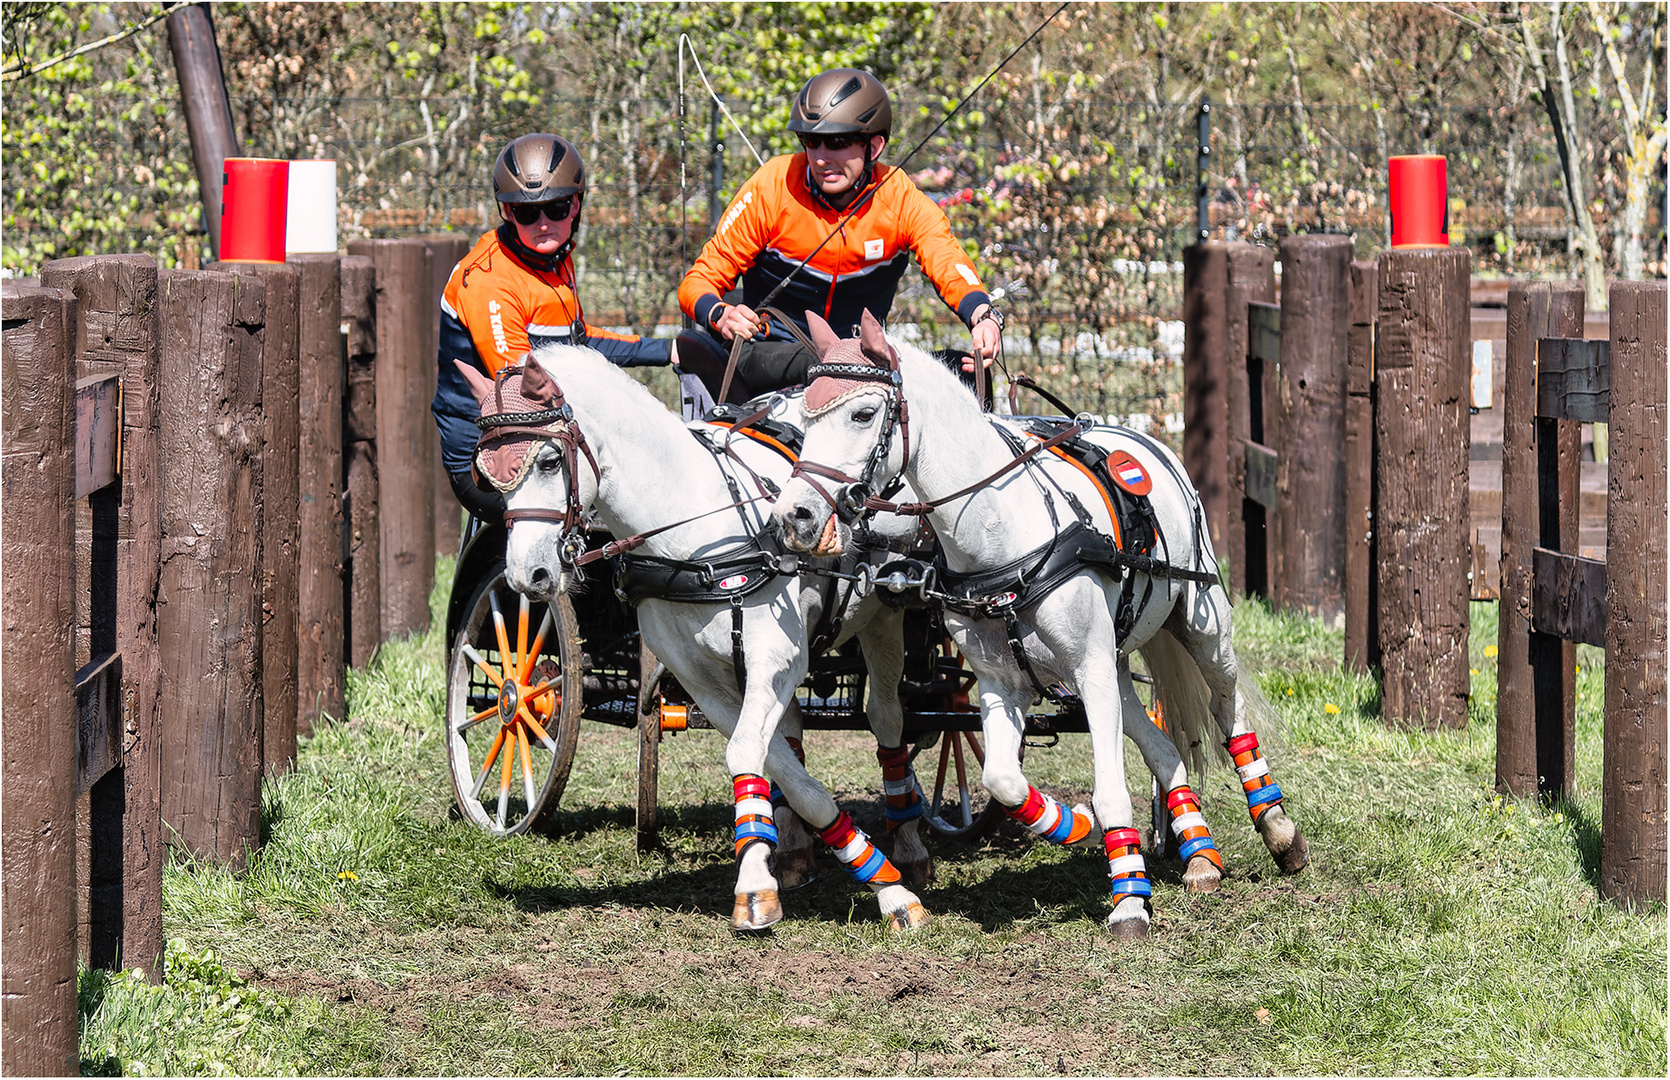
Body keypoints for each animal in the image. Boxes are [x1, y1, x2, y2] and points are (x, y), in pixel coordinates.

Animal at [450, 348, 935, 934]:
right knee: (794, 730)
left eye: (546, 462)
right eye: (486, 473)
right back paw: (797, 850)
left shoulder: (774, 659)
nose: (526, 575)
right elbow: (788, 775)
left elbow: (750, 753)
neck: (691, 537)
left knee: (888, 720)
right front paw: (781, 871)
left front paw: (887, 888)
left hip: (884, 616)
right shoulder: (708, 683)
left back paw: (909, 843)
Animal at [768, 310, 1302, 934]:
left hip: (1200, 627)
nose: (795, 516)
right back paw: (1199, 854)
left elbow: (1111, 790)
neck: (1003, 534)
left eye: (861, 414)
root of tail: (1146, 440)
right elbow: (1003, 778)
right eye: (805, 416)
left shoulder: (1089, 669)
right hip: (1114, 663)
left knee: (1227, 709)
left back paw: (1278, 830)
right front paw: (1077, 827)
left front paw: (1129, 898)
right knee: (1163, 746)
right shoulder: (1004, 683)